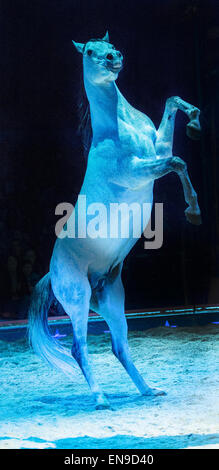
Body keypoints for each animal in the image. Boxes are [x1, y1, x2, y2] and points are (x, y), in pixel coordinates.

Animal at [29, 31, 202, 410]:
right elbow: (178, 163)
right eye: (90, 52)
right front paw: (193, 212)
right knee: (79, 348)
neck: (119, 126)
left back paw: (149, 390)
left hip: (111, 299)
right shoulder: (139, 169)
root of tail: (51, 273)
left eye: (109, 46)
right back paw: (100, 399)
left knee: (119, 346)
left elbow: (172, 107)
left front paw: (195, 122)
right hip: (77, 297)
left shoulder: (158, 150)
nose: (113, 58)